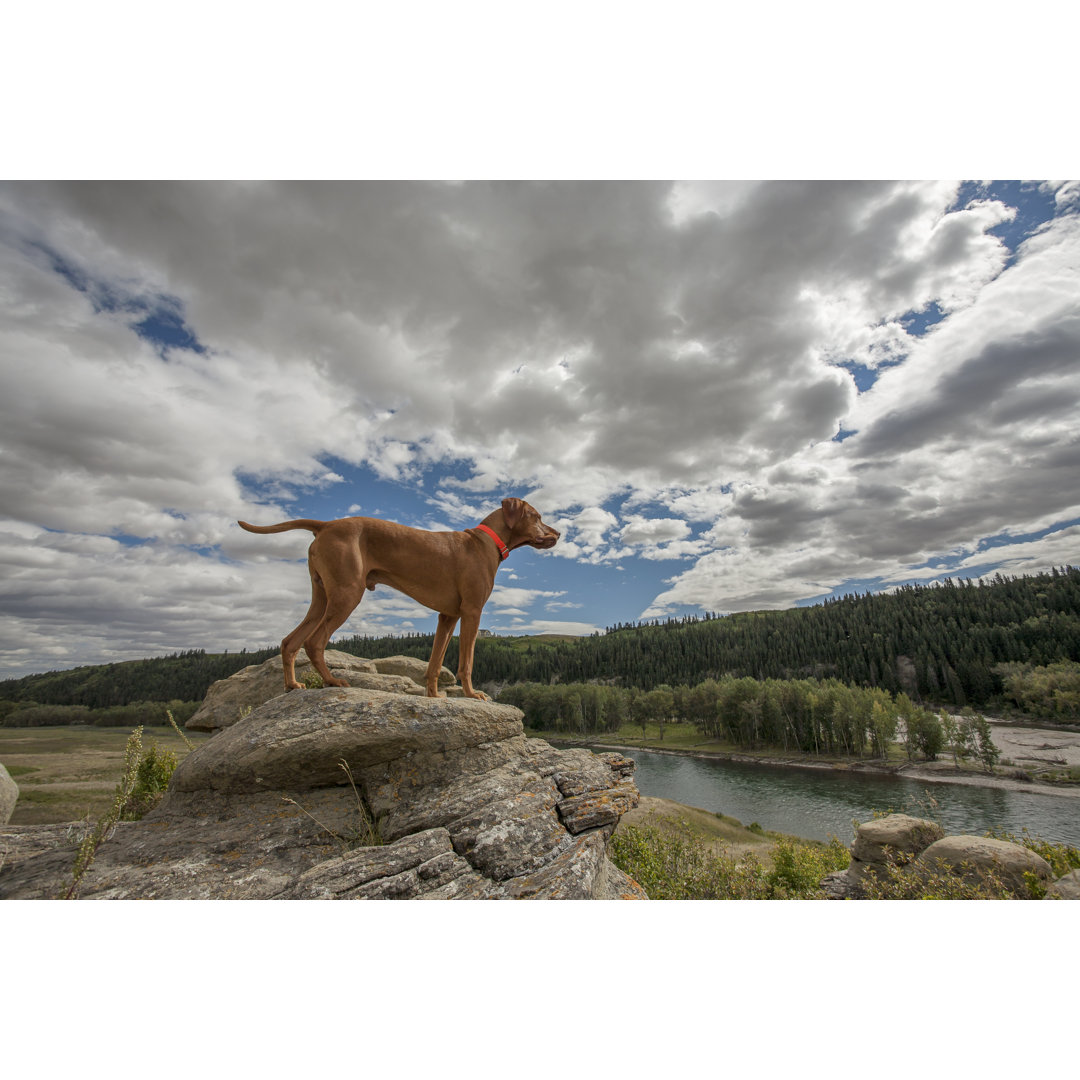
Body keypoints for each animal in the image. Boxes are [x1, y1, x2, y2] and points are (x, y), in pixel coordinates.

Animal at [239, 496, 561, 699]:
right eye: (537, 516)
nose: (558, 533)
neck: (485, 542)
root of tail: (326, 524)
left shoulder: (448, 616)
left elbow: (434, 663)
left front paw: (434, 697)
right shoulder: (471, 612)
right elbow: (466, 662)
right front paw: (472, 694)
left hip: (321, 598)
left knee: (289, 641)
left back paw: (292, 685)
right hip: (346, 594)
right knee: (314, 642)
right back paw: (332, 681)